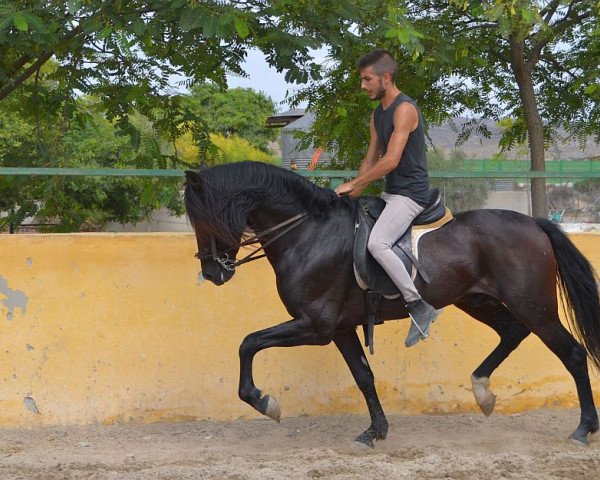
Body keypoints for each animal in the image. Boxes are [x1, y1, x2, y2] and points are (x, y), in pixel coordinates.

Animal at [184, 160, 600, 446]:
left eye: (200, 219)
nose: (212, 272)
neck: (308, 231)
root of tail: (534, 223)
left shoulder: (315, 325)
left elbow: (248, 343)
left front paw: (262, 401)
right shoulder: (340, 328)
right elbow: (363, 376)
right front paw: (375, 431)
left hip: (534, 306)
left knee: (572, 353)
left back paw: (584, 428)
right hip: (478, 301)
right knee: (512, 333)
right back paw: (482, 392)